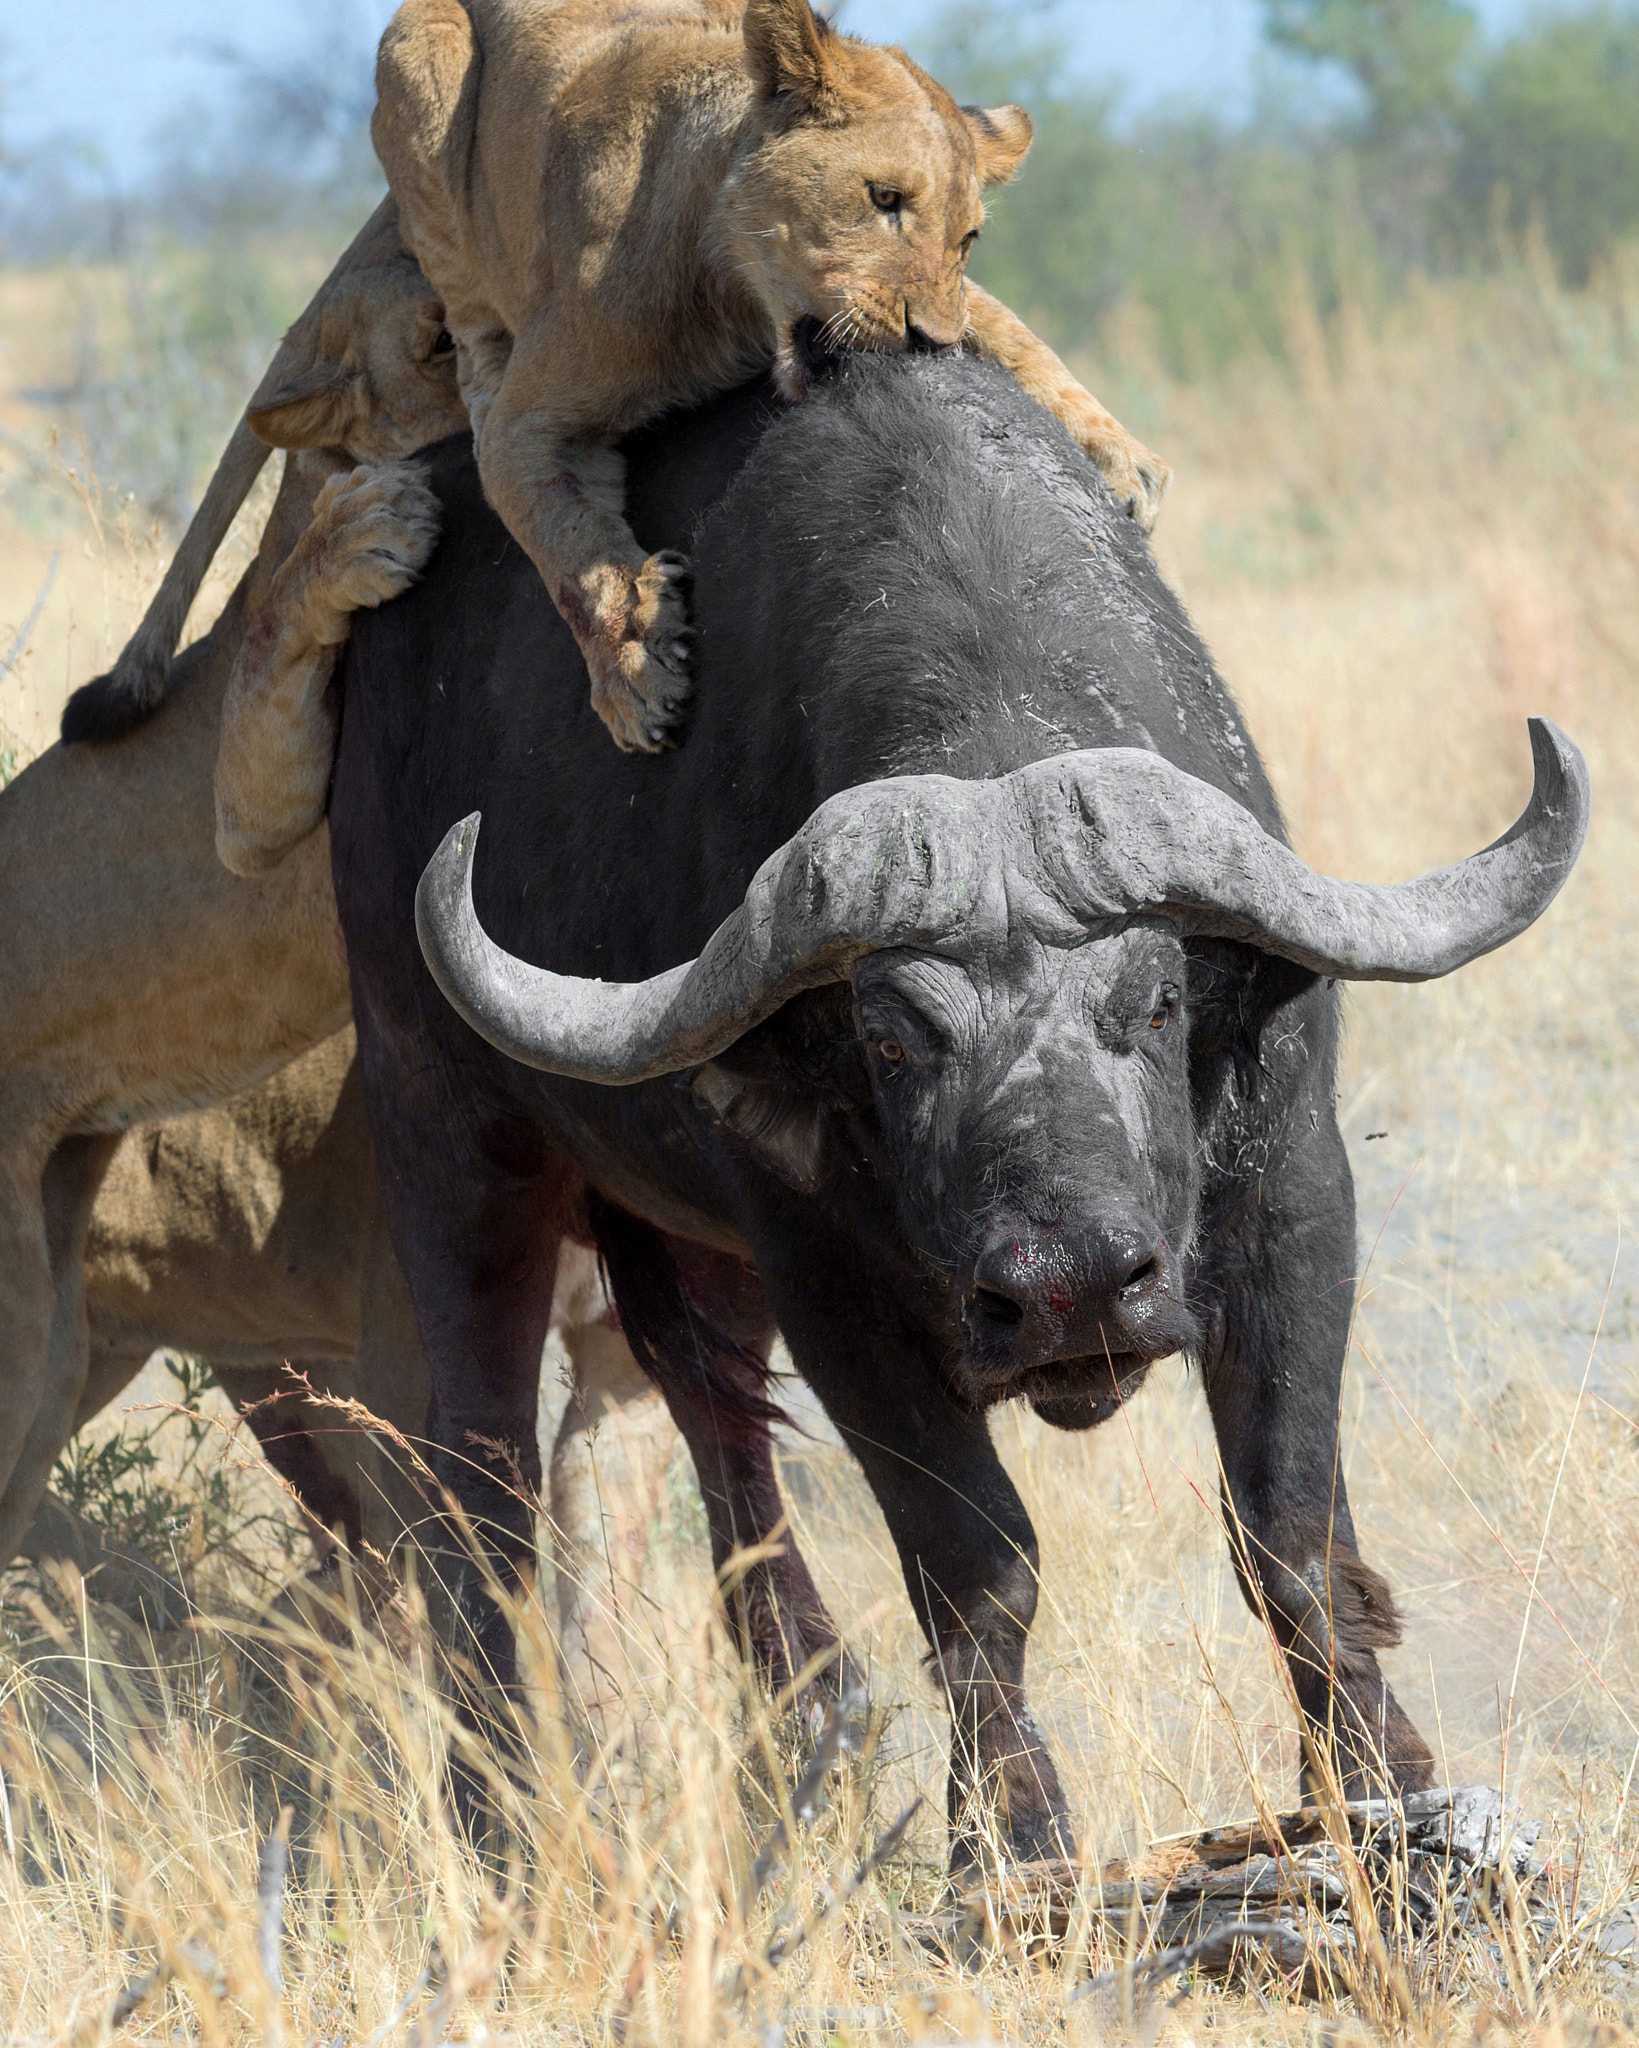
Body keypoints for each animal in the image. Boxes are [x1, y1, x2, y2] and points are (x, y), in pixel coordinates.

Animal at [331, 347, 1587, 1869]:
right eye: (889, 1040)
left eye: (1156, 1002)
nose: (1069, 1291)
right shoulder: (836, 1286)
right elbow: (976, 1565)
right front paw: (1011, 1835)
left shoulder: (1293, 1194)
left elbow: (1284, 1529)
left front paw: (1375, 1777)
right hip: (446, 1135)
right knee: (484, 1482)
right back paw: (502, 1813)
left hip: (673, 1233)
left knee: (711, 1428)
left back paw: (808, 1731)